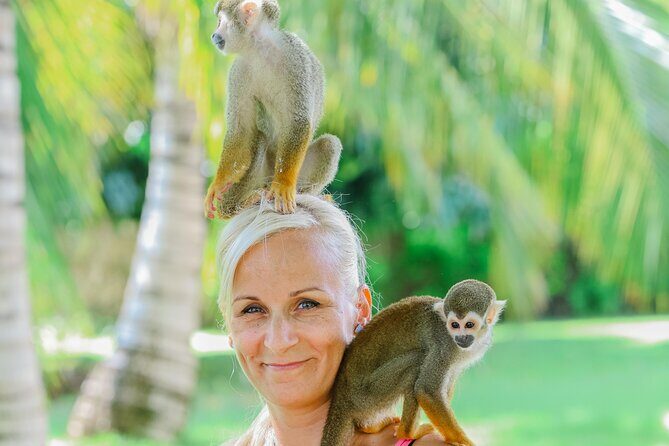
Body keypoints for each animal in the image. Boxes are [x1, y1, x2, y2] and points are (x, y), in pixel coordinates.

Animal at [205, 0, 342, 219]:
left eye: (220, 21)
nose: (213, 35)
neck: (259, 49)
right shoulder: (237, 71)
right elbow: (242, 129)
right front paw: (218, 183)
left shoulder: (295, 57)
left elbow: (298, 120)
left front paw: (284, 184)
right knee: (259, 139)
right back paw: (234, 207)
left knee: (329, 145)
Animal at [321, 279, 506, 446]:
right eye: (454, 325)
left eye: (469, 325)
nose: (461, 338)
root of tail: (340, 393)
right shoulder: (444, 345)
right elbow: (427, 390)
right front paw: (464, 441)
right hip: (366, 395)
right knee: (416, 364)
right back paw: (408, 433)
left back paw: (370, 427)